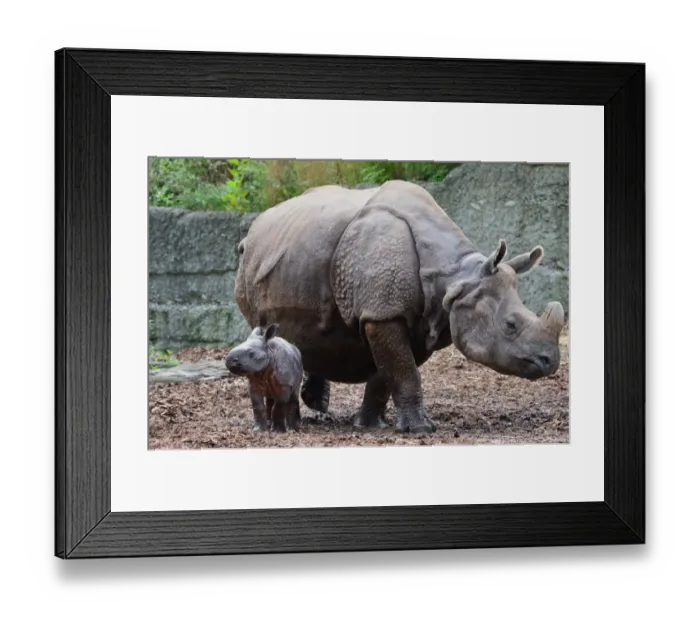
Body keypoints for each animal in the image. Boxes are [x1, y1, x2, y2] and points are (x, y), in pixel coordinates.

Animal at [234, 180, 565, 434]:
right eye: (510, 325)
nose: (550, 362)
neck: (455, 277)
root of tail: (253, 229)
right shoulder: (383, 313)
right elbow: (403, 370)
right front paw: (420, 429)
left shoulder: (413, 318)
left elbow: (388, 370)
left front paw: (369, 425)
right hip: (251, 266)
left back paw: (317, 402)